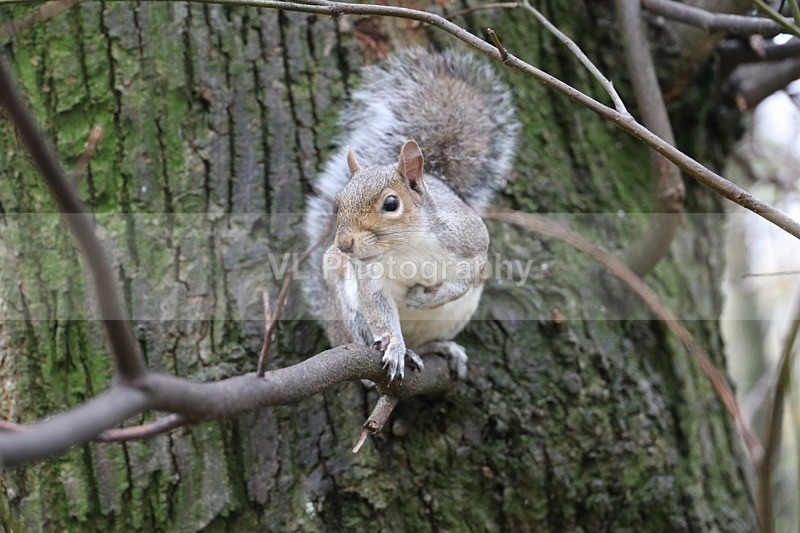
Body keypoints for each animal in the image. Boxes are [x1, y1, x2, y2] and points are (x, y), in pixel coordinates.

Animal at [303, 48, 519, 381]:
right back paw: (404, 351)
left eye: (391, 204)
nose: (343, 244)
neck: (406, 246)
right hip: (348, 312)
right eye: (337, 202)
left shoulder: (470, 241)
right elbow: (380, 311)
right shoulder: (369, 277)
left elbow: (464, 280)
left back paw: (440, 348)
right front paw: (393, 346)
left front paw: (423, 298)